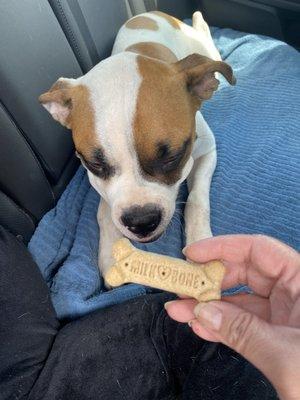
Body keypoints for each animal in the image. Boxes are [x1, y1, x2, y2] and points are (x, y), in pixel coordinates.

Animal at [39, 10, 236, 282]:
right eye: (95, 164)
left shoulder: (207, 151)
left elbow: (197, 200)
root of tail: (152, 12)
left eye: (173, 157)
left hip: (206, 52)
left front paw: (200, 244)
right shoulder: (97, 182)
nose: (141, 221)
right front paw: (112, 250)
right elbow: (104, 210)